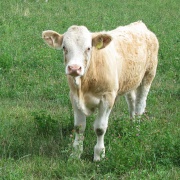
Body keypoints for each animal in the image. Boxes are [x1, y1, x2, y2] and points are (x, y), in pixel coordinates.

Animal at [41, 20, 158, 160]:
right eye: (64, 47)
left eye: (88, 48)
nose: (74, 68)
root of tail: (139, 24)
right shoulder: (74, 97)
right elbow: (79, 127)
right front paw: (76, 154)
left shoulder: (107, 98)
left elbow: (100, 128)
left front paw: (99, 154)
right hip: (130, 80)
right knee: (132, 102)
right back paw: (131, 124)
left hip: (148, 75)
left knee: (140, 105)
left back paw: (136, 129)